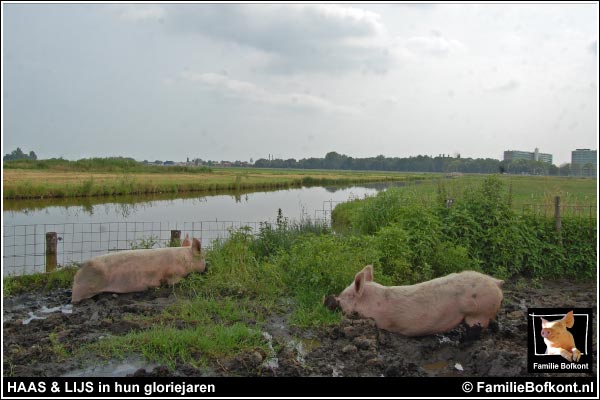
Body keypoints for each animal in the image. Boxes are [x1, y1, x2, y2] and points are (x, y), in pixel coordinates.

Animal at [71, 234, 204, 304]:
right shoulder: (174, 275)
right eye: (203, 257)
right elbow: (173, 282)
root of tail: (78, 272)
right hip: (84, 289)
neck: (184, 259)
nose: (206, 267)